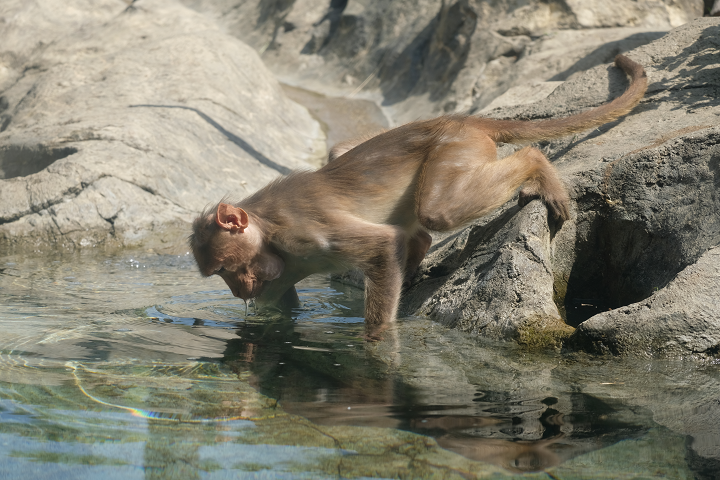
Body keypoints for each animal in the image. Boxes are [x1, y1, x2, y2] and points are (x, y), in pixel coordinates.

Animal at [190, 54, 648, 340]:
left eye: (225, 269)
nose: (238, 290)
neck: (266, 229)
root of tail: (462, 120)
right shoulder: (281, 267)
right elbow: (279, 310)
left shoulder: (299, 231)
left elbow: (381, 245)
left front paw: (377, 339)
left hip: (455, 149)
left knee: (438, 212)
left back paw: (537, 165)